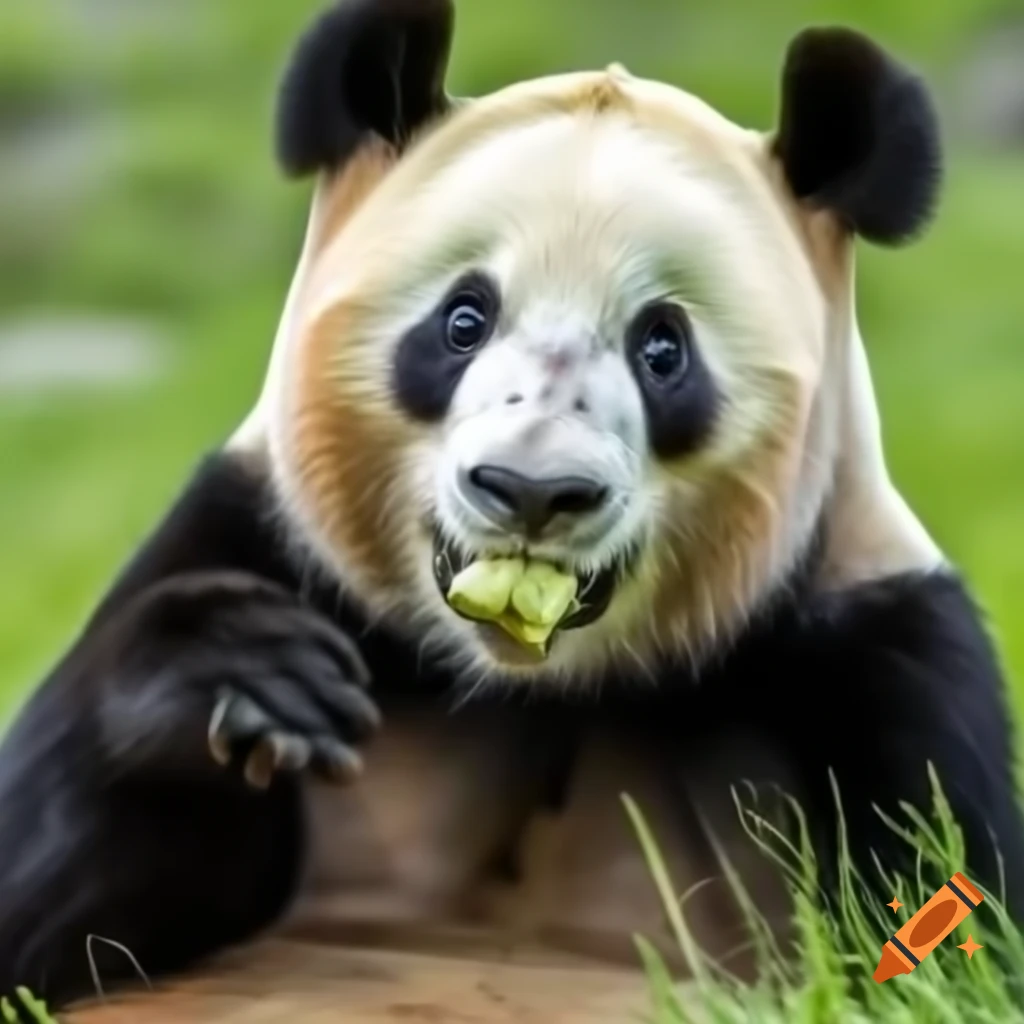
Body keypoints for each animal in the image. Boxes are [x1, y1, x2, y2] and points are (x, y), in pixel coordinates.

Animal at [1, 0, 1023, 1012]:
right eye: (464, 320)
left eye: (663, 348)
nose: (532, 489)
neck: (526, 680)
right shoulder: (255, 533)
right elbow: (42, 903)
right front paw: (243, 673)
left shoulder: (889, 659)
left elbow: (953, 928)